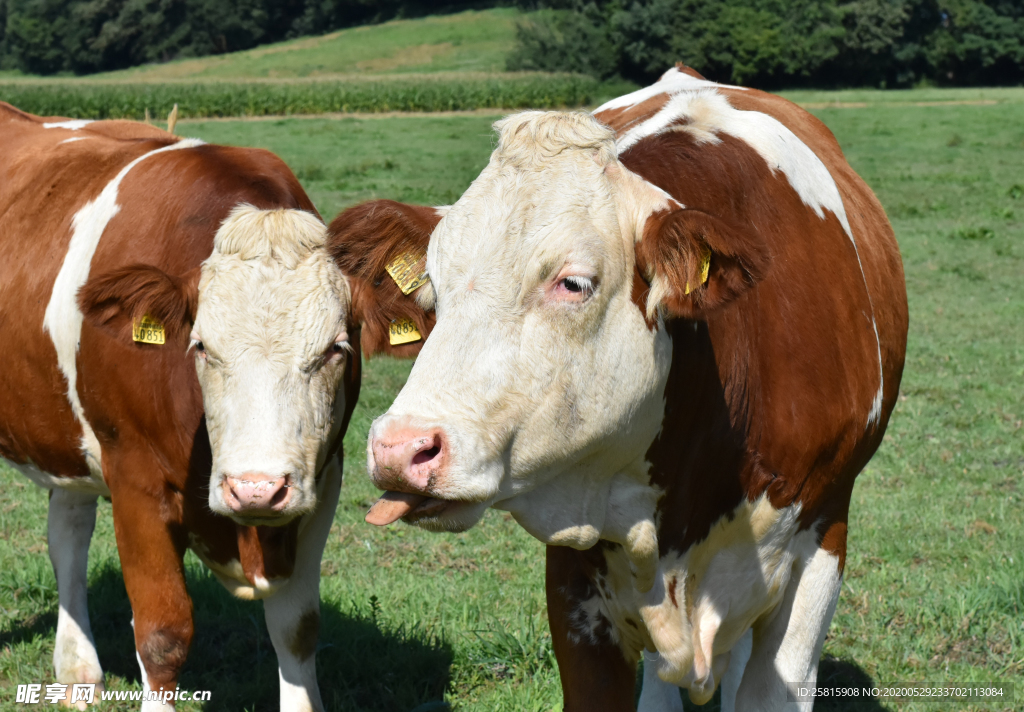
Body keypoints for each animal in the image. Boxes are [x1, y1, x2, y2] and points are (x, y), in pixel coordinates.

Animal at [0, 102, 432, 708]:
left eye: (335, 349)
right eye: (201, 346)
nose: (255, 488)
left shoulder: (322, 479)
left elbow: (297, 627)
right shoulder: (134, 479)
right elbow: (163, 634)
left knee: (68, 529)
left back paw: (79, 675)